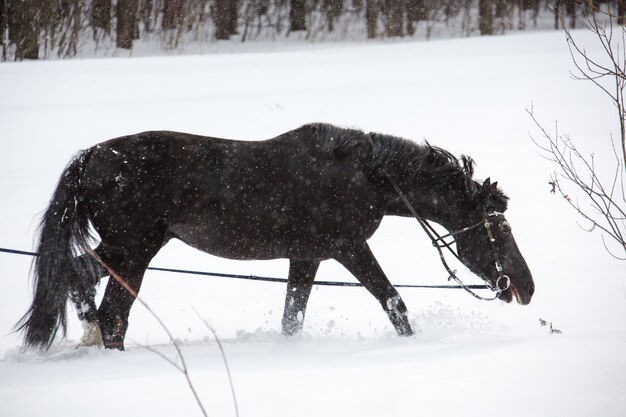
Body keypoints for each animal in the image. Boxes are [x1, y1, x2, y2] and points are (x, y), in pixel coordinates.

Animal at [18, 122, 532, 348]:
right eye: (500, 228)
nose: (525, 288)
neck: (366, 174)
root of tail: (92, 156)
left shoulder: (306, 258)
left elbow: (292, 317)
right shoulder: (348, 248)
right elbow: (393, 301)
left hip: (127, 248)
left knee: (78, 276)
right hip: (134, 251)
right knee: (112, 315)